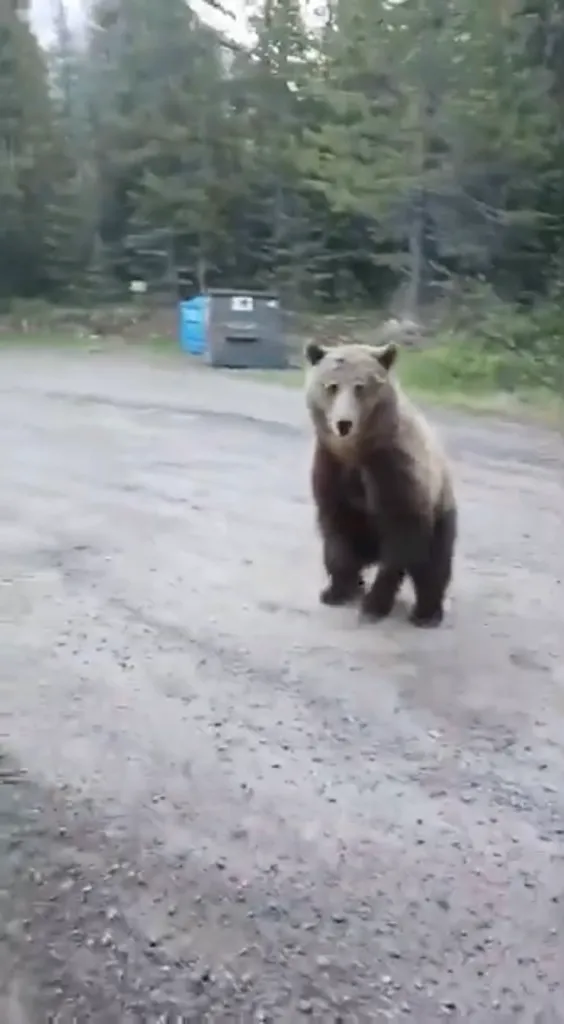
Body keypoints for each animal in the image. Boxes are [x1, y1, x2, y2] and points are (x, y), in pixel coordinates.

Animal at [304, 339, 457, 627]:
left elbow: (401, 538)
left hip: (441, 508)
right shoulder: (332, 467)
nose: (343, 423)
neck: (356, 452)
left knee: (434, 565)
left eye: (360, 386)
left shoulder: (392, 469)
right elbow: (336, 532)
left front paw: (374, 605)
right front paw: (336, 591)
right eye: (331, 386)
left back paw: (427, 612)